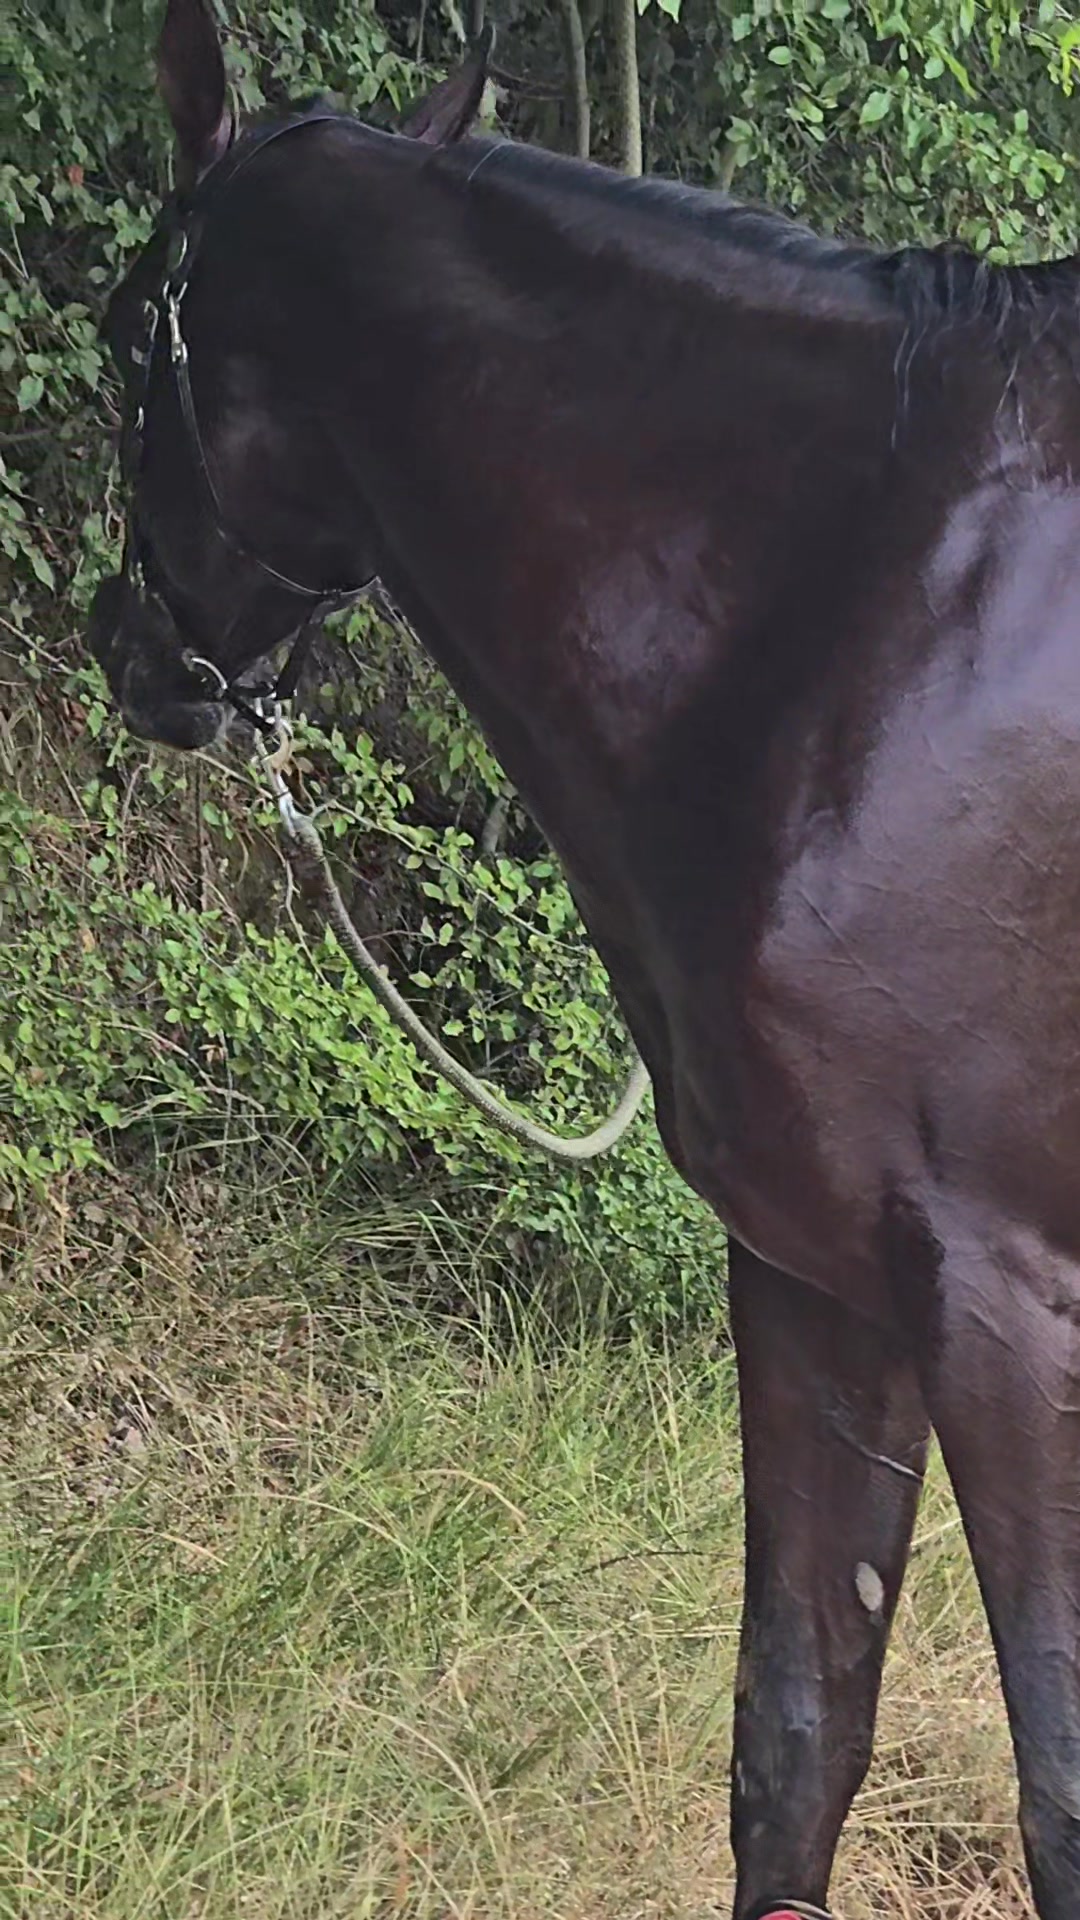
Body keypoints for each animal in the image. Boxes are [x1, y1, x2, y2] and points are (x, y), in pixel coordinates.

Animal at [87, 3, 1080, 1914]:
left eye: (118, 328)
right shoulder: (825, 1272)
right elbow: (794, 1740)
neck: (874, 604)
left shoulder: (1011, 1308)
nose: (129, 648)